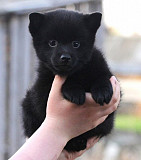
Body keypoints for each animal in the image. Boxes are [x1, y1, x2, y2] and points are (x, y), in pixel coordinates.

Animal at [22, 9, 117, 152]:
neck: (76, 74)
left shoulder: (103, 69)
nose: (65, 58)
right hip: (27, 106)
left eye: (76, 44)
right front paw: (74, 92)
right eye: (52, 43)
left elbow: (102, 77)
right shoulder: (43, 88)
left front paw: (102, 92)